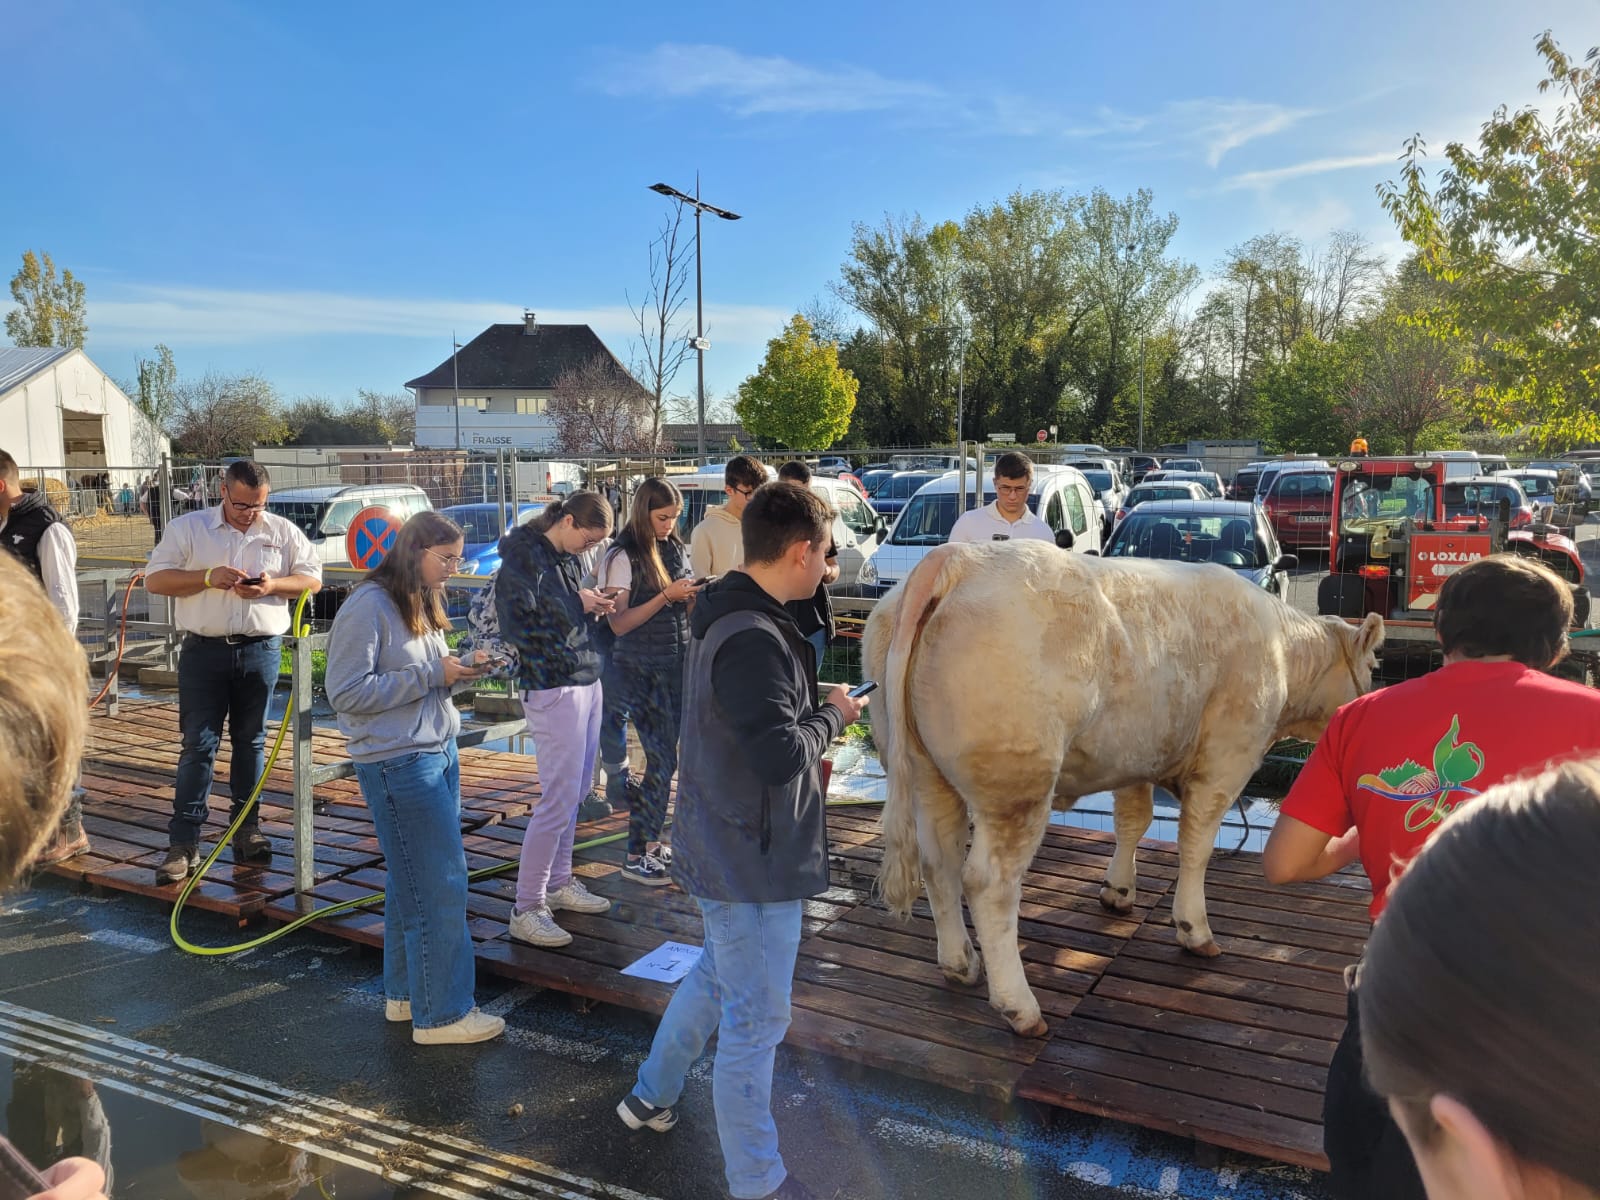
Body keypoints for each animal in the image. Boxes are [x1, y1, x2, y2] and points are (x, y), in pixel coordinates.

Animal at [870, 540, 1382, 1036]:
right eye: (1375, 666)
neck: (1282, 651)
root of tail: (957, 557)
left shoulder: (1134, 756)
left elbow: (1133, 821)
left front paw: (1118, 891)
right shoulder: (1227, 759)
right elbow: (1196, 846)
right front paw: (1194, 928)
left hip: (928, 775)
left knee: (939, 863)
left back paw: (960, 964)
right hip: (1016, 785)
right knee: (988, 883)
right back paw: (1021, 1008)